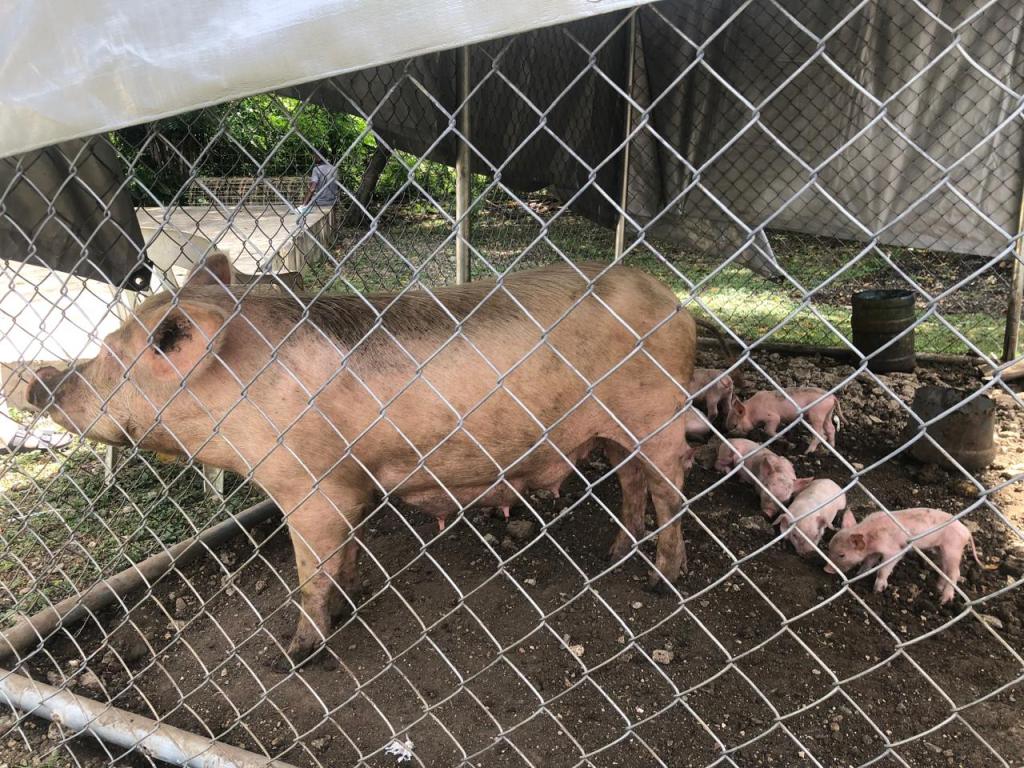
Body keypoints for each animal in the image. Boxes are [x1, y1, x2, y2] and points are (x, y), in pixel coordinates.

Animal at [26, 255, 698, 666]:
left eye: (113, 353)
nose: (38, 382)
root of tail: (676, 301)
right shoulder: (347, 484)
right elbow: (343, 553)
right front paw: (349, 596)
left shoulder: (310, 484)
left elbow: (310, 570)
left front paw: (293, 654)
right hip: (616, 430)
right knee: (631, 480)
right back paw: (614, 554)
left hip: (658, 416)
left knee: (670, 490)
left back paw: (658, 579)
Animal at [825, 508, 985, 604]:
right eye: (829, 548)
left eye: (842, 555)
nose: (826, 569)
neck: (871, 536)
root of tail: (966, 531)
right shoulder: (874, 552)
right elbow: (869, 562)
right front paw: (859, 574)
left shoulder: (893, 550)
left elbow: (884, 568)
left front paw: (877, 590)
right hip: (941, 550)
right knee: (944, 569)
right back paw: (938, 588)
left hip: (953, 549)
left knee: (955, 573)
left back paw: (943, 600)